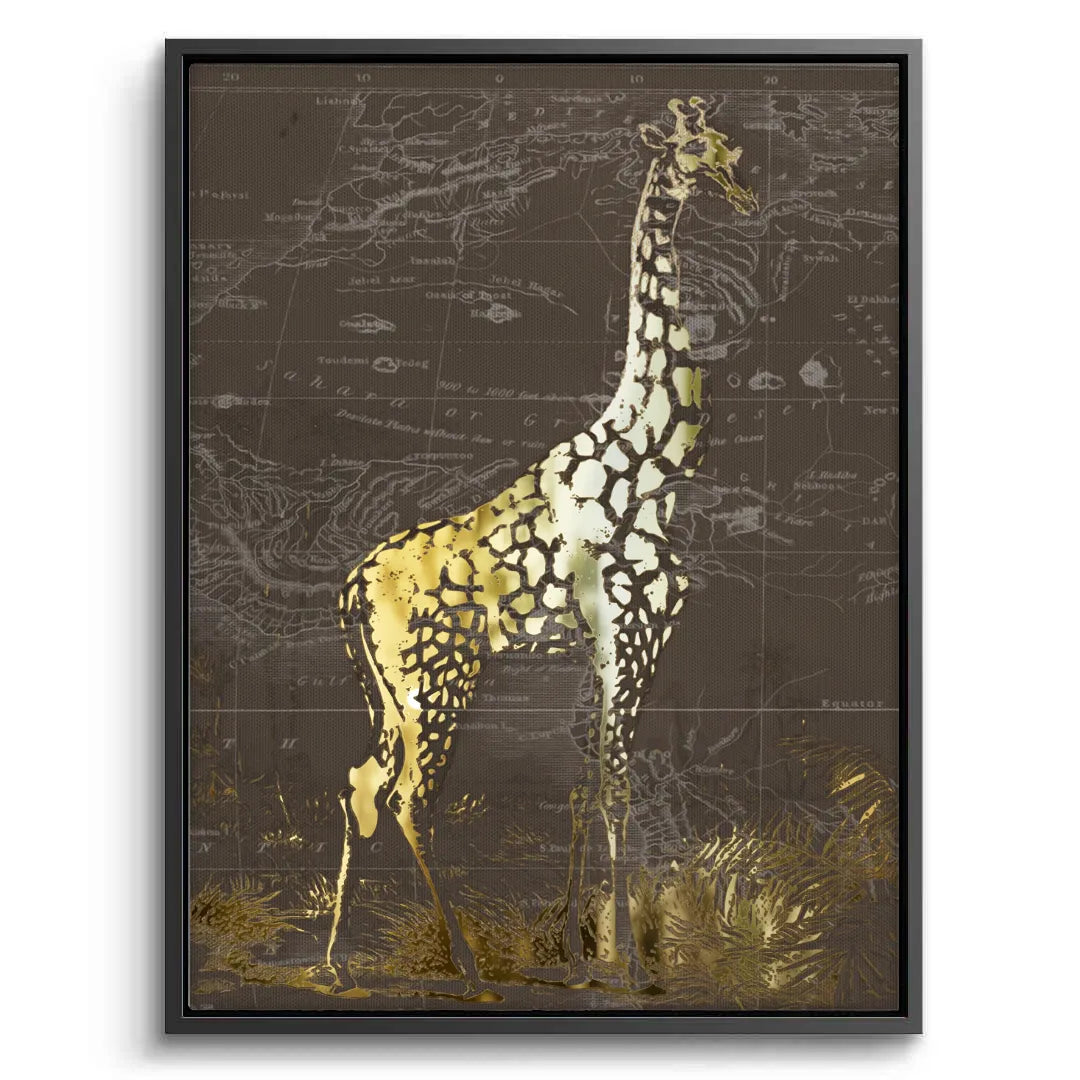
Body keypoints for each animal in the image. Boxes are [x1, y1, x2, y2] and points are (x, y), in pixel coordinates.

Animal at [326, 98, 757, 994]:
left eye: (728, 147)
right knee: (408, 799)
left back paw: (336, 958)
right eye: (693, 150)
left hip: (388, 692)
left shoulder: (600, 646)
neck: (655, 459)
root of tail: (348, 590)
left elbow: (581, 786)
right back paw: (466, 967)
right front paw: (631, 964)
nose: (742, 192)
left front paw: (579, 956)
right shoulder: (630, 630)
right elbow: (617, 787)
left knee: (360, 786)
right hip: (437, 680)